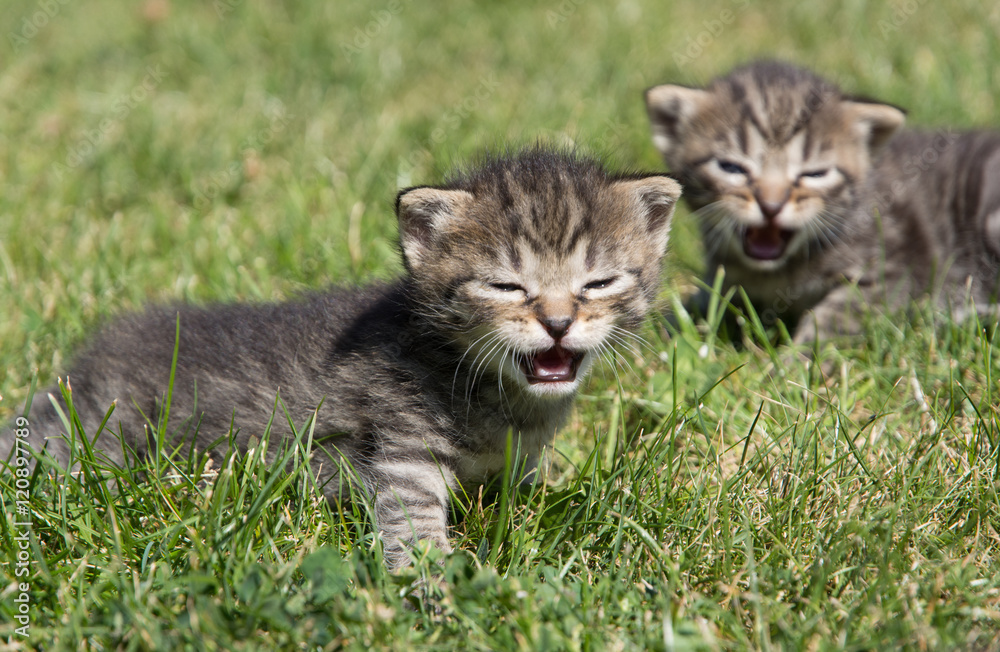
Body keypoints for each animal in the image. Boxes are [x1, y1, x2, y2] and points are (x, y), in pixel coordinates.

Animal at [0, 149, 684, 572]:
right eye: (506, 287)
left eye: (598, 283)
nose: (559, 321)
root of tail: (85, 365)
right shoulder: (401, 446)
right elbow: (411, 520)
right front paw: (435, 586)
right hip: (95, 436)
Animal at [644, 61, 996, 342]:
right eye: (731, 168)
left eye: (814, 174)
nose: (771, 206)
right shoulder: (727, 280)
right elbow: (698, 302)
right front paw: (658, 331)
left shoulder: (899, 268)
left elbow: (836, 317)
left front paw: (793, 367)